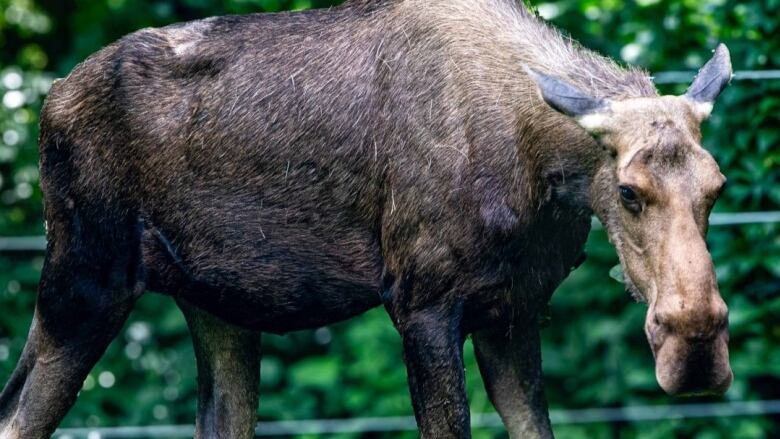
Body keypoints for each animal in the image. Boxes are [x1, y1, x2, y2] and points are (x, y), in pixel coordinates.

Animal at [0, 0, 736, 439]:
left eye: (717, 185)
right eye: (630, 191)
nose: (696, 345)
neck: (546, 178)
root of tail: (49, 101)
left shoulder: (515, 309)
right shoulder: (423, 302)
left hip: (215, 307)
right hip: (85, 277)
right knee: (18, 413)